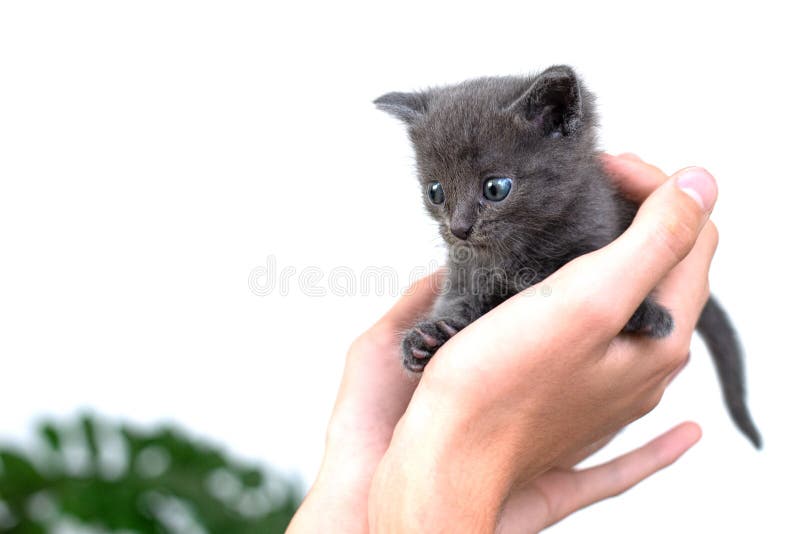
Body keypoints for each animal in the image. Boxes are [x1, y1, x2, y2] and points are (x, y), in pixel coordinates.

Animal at [376, 65, 764, 450]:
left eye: (496, 188)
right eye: (435, 192)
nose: (458, 229)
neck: (515, 253)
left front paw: (646, 315)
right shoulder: (464, 272)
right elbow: (456, 303)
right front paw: (425, 339)